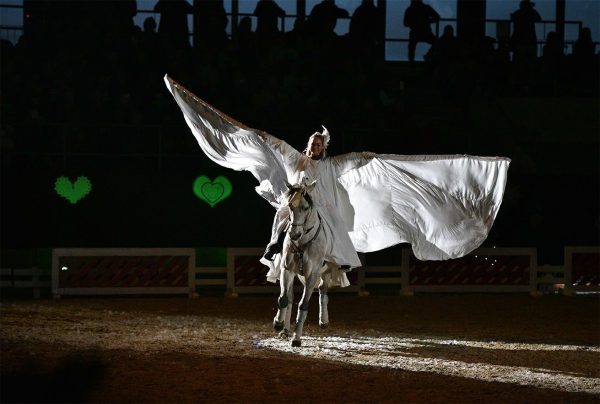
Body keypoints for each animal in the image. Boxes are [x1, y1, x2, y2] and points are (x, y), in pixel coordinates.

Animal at [274, 182, 338, 348]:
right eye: (290, 206)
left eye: (305, 208)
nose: (294, 235)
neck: (303, 242)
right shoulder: (287, 270)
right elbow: (284, 299)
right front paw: (278, 323)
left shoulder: (311, 275)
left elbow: (303, 305)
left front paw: (297, 338)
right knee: (290, 297)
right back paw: (284, 330)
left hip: (326, 270)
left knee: (323, 289)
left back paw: (324, 321)